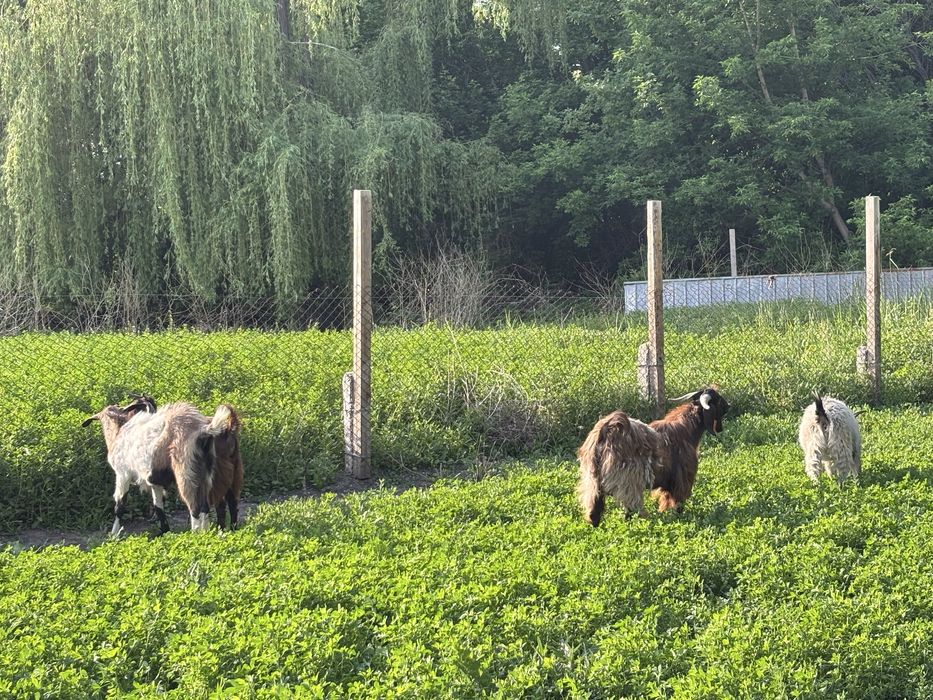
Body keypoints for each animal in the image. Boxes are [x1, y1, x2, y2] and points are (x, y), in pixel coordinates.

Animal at [83, 397, 242, 535]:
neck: (119, 432)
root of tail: (204, 430)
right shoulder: (154, 481)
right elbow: (158, 507)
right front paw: (165, 532)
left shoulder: (123, 474)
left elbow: (120, 505)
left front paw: (114, 535)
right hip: (210, 475)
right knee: (215, 505)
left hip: (186, 472)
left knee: (196, 507)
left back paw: (195, 537)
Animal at [577, 387, 729, 526]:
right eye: (718, 399)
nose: (728, 406)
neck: (686, 429)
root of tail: (605, 433)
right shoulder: (682, 478)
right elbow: (677, 502)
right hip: (629, 481)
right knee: (630, 509)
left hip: (592, 482)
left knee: (594, 508)